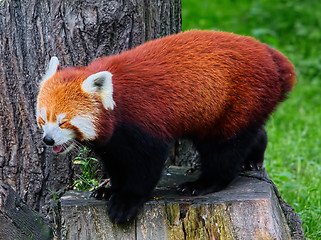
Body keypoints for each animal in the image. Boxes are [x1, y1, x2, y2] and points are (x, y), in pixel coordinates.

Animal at [36, 30, 294, 223]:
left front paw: (127, 200)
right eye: (43, 120)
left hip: (237, 99)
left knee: (224, 148)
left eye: (63, 121)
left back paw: (204, 183)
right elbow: (116, 162)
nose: (48, 140)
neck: (115, 103)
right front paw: (111, 189)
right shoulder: (112, 140)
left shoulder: (143, 122)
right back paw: (254, 157)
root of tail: (270, 55)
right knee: (250, 132)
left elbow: (147, 164)